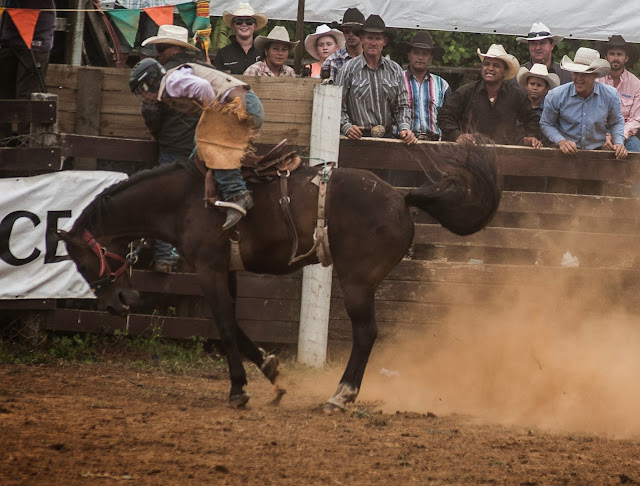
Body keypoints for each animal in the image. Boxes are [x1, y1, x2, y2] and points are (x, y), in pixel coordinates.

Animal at [59, 139, 500, 412]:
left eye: (80, 261)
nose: (117, 304)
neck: (185, 200)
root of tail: (400, 196)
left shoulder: (207, 269)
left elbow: (223, 326)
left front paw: (238, 390)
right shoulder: (227, 271)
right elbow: (236, 326)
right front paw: (270, 370)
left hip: (357, 281)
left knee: (366, 334)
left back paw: (340, 396)